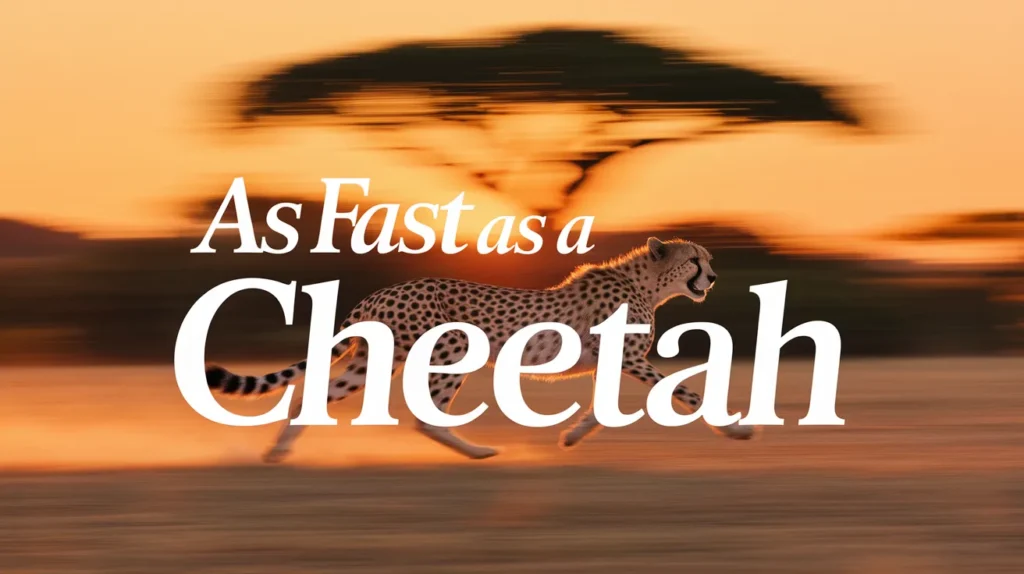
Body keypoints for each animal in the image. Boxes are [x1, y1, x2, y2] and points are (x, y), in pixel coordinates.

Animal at [204, 237, 757, 463]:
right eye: (696, 260)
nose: (713, 277)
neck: (647, 282)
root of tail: (382, 292)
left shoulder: (609, 361)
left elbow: (601, 411)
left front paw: (571, 438)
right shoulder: (628, 358)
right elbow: (686, 391)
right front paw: (735, 428)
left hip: (368, 362)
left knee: (309, 397)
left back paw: (276, 452)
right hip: (451, 350)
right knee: (425, 418)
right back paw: (479, 451)